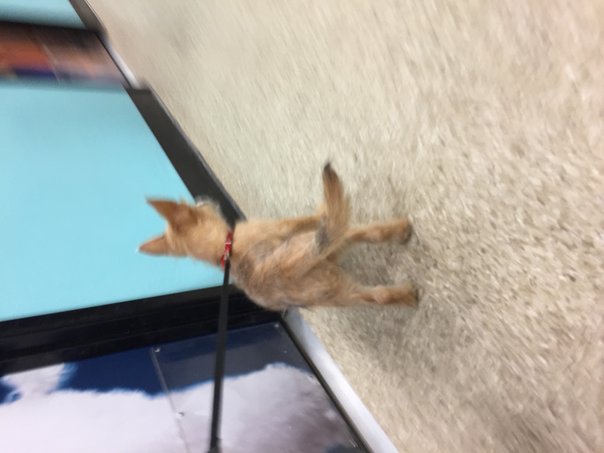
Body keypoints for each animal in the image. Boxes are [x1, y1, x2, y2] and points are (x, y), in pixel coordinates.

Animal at [140, 164, 417, 310]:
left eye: (198, 206)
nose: (201, 197)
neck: (225, 247)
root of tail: (286, 270)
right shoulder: (285, 227)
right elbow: (309, 218)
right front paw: (319, 210)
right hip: (331, 245)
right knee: (362, 232)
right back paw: (401, 233)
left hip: (338, 291)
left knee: (379, 294)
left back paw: (406, 293)